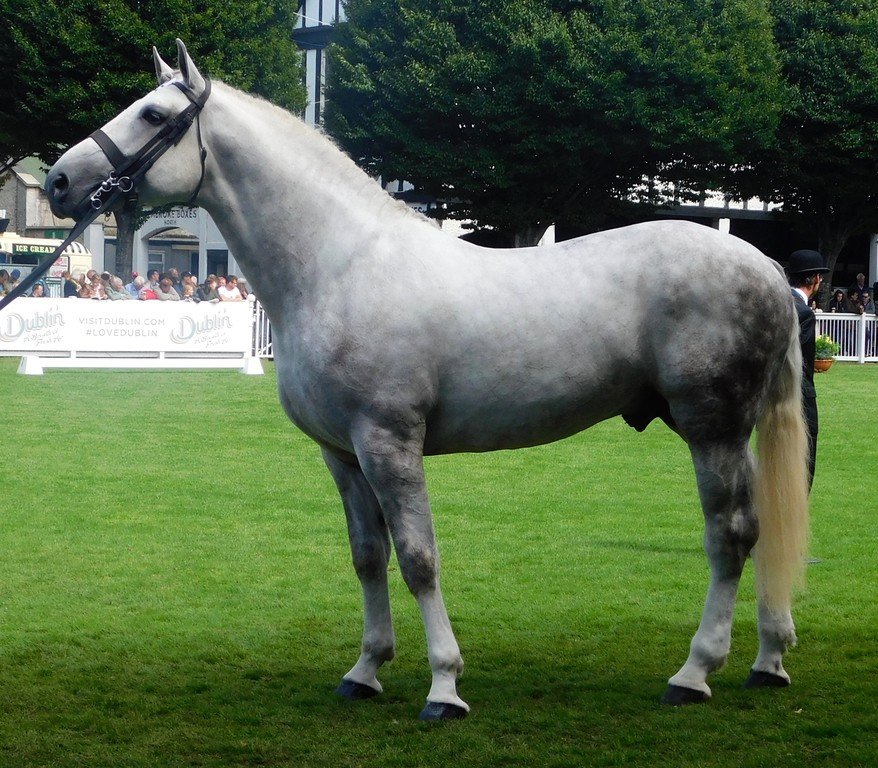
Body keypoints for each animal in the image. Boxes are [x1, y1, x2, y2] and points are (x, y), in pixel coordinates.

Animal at [45, 41, 810, 720]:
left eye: (151, 114)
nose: (58, 182)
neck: (340, 265)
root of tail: (768, 268)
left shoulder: (389, 442)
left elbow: (417, 559)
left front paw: (444, 686)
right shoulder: (343, 454)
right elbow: (367, 557)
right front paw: (365, 670)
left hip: (712, 427)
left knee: (731, 534)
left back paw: (694, 673)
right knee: (760, 530)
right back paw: (767, 660)